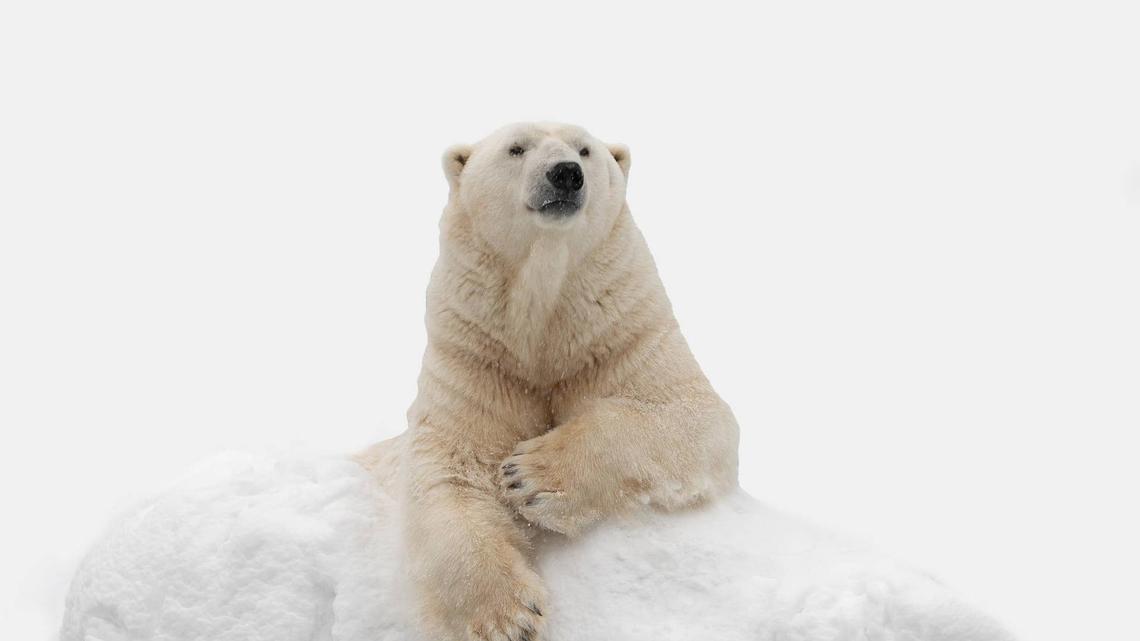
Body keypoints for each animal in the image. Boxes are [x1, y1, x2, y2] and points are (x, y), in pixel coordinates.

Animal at [368, 122, 739, 641]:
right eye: (515, 148)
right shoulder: (476, 362)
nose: (565, 173)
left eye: (585, 149)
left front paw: (529, 476)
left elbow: (691, 413)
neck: (542, 331)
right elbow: (449, 471)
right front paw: (507, 617)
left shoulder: (621, 337)